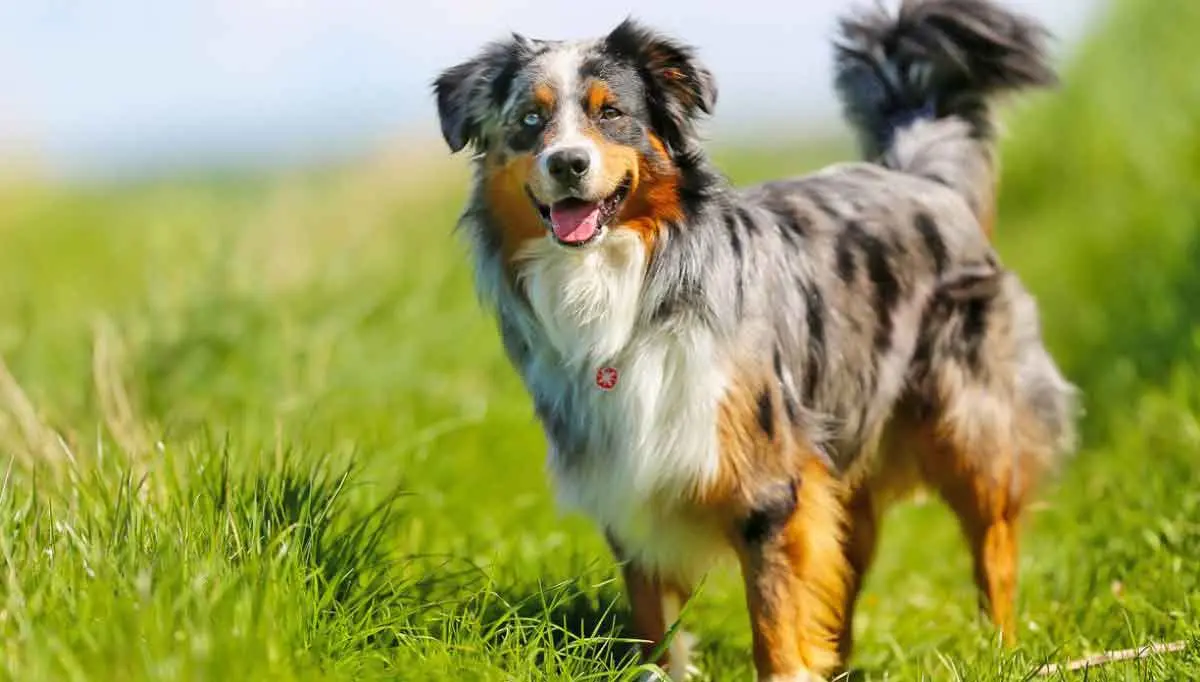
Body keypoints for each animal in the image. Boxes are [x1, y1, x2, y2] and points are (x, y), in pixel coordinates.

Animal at [432, 0, 1080, 677]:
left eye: (610, 113)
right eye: (530, 120)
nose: (567, 163)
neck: (625, 287)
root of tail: (925, 180)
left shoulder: (767, 481)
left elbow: (774, 614)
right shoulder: (626, 478)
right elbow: (655, 621)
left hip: (970, 426)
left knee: (993, 544)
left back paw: (999, 650)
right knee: (847, 567)